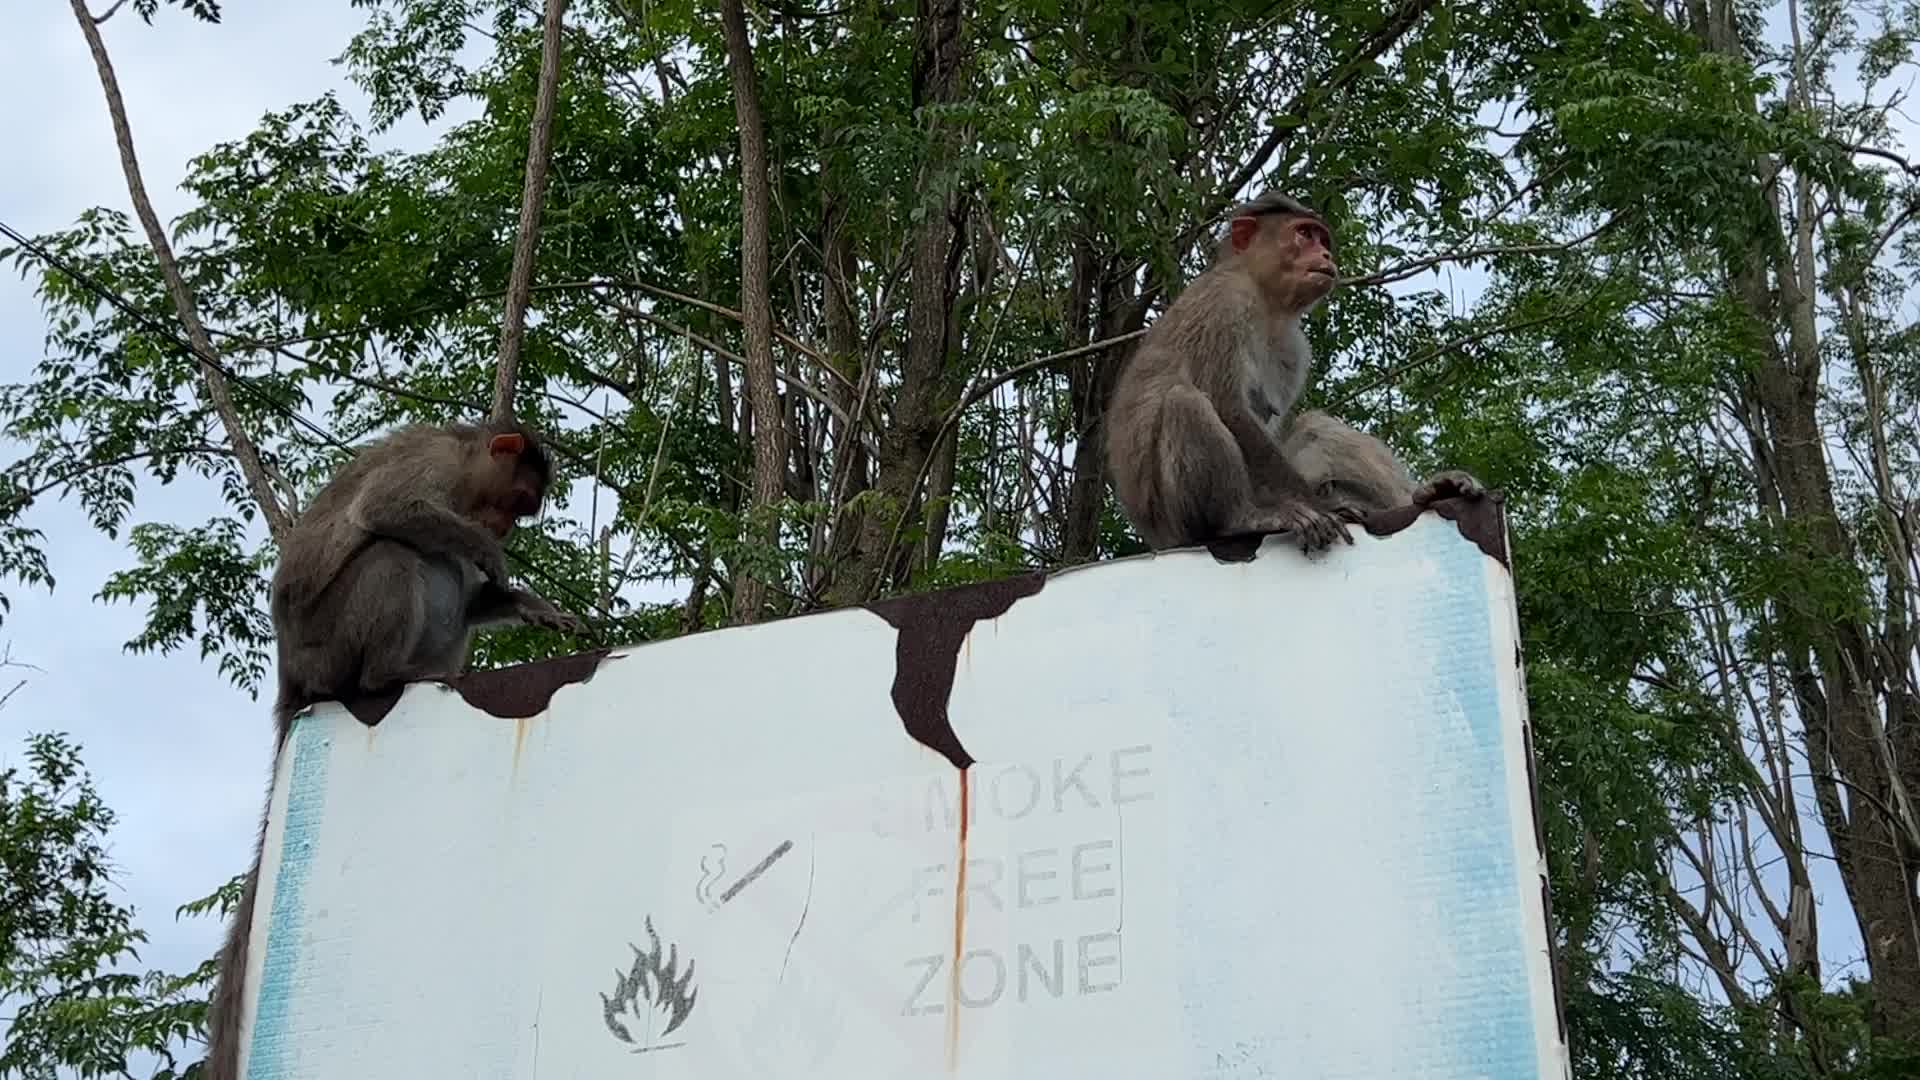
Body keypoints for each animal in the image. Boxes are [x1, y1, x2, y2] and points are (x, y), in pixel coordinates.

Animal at [204, 419, 584, 1080]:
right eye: (516, 501)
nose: (503, 530)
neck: (463, 465)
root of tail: (293, 675)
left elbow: (475, 596)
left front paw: (525, 601)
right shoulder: (432, 466)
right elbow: (387, 510)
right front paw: (489, 556)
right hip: (331, 646)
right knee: (395, 553)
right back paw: (389, 673)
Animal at [1105, 191, 1351, 553]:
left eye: (1322, 239)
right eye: (1304, 234)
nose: (1325, 254)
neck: (1265, 299)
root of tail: (1157, 538)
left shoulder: (1294, 347)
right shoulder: (1225, 304)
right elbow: (1229, 408)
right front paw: (1317, 505)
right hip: (1175, 517)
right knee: (1184, 402)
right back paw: (1239, 518)